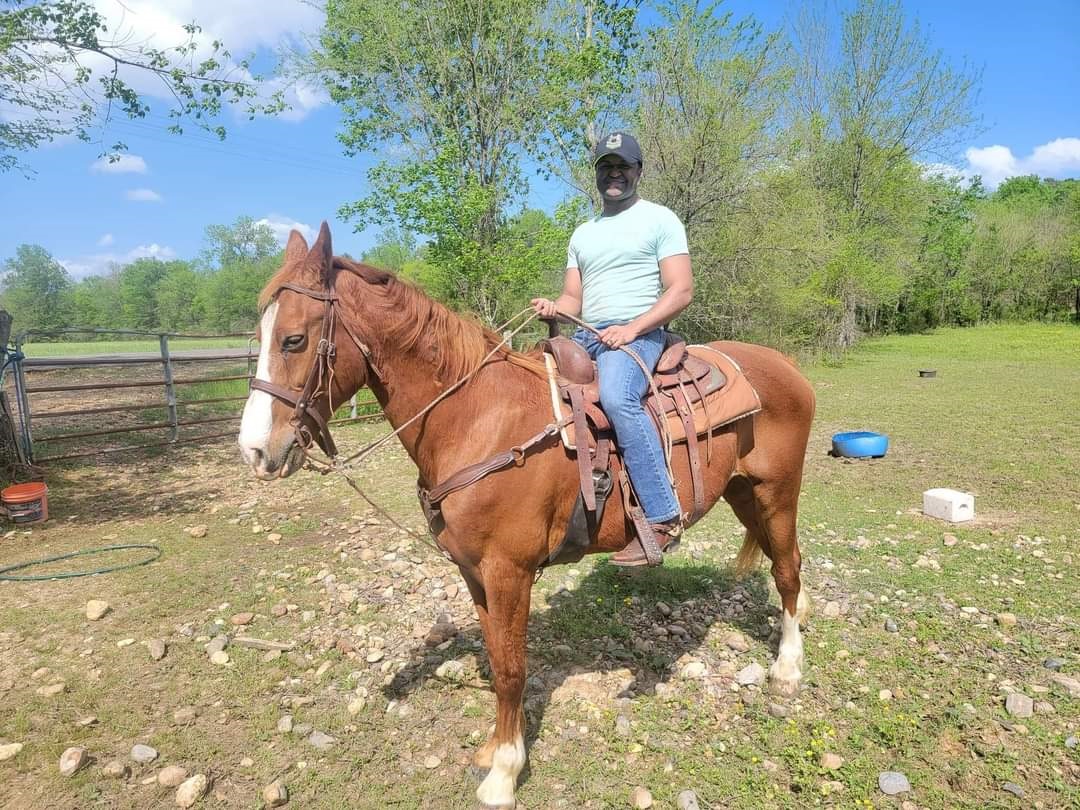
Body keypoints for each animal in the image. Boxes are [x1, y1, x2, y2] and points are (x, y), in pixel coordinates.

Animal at [236, 225, 812, 807]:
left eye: (293, 340)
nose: (255, 451)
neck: (476, 417)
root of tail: (785, 365)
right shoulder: (473, 572)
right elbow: (496, 657)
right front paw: (493, 749)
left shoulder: (508, 571)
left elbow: (513, 669)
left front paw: (504, 772)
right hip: (743, 493)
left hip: (777, 493)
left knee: (787, 569)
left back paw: (787, 669)